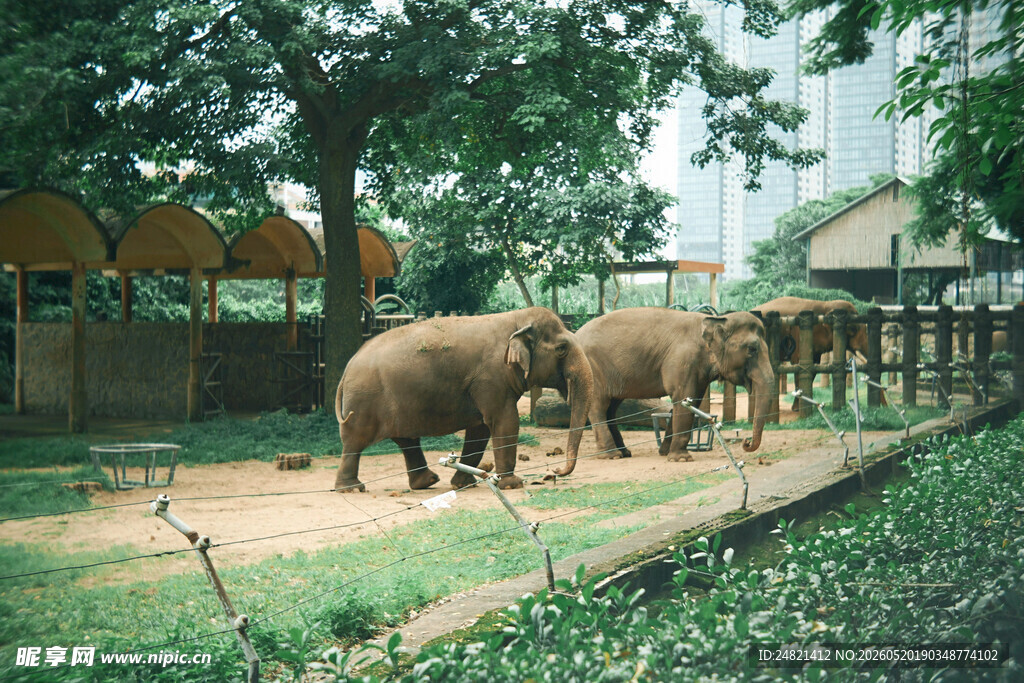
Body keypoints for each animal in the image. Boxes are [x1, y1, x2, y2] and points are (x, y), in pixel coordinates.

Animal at [334, 307, 594, 492]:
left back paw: (427, 482)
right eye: (561, 348)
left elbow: (480, 429)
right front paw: (512, 484)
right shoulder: (491, 377)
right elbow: (504, 421)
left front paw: (463, 484)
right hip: (364, 401)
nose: (554, 472)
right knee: (355, 440)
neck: (517, 319)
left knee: (406, 439)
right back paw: (352, 489)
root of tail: (346, 369)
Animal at [575, 308, 774, 462]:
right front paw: (681, 459)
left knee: (611, 408)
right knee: (599, 407)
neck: (715, 320)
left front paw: (664, 453)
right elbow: (683, 401)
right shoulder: (682, 361)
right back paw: (612, 455)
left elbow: (691, 402)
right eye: (752, 349)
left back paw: (624, 452)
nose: (746, 442)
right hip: (593, 369)